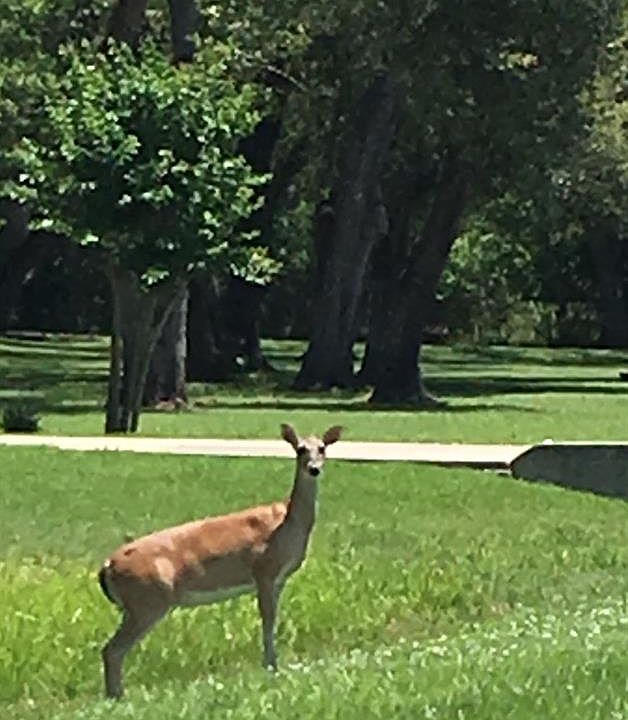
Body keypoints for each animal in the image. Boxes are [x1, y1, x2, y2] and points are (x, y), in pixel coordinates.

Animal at [97, 423, 343, 699]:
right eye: (300, 449)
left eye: (322, 448)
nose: (314, 468)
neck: (287, 525)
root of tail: (107, 566)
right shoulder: (264, 571)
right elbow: (267, 618)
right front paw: (271, 666)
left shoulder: (279, 579)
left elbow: (273, 618)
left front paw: (272, 664)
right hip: (147, 600)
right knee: (113, 649)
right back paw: (117, 695)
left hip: (136, 606)